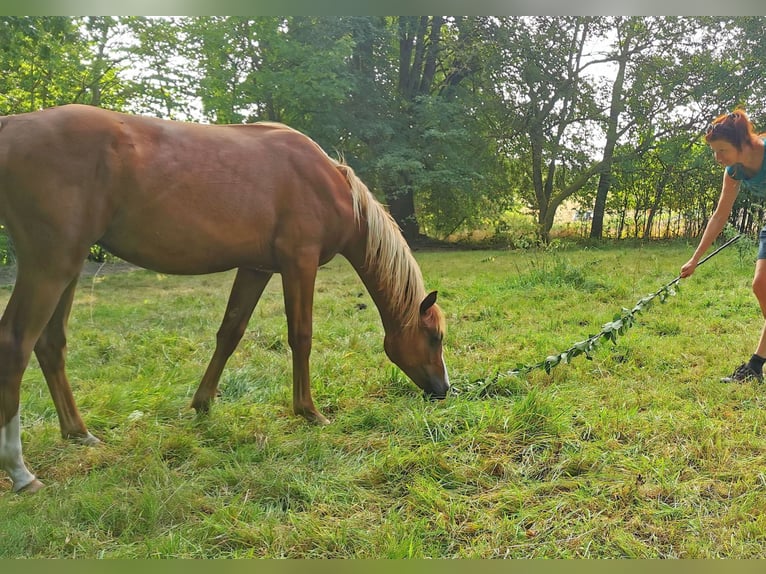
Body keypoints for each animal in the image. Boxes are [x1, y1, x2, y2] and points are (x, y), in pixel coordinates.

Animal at [0, 106, 450, 492]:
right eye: (435, 338)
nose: (444, 389)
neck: (330, 185)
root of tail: (11, 125)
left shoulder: (256, 268)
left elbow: (230, 332)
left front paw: (202, 404)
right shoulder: (299, 263)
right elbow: (301, 336)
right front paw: (308, 411)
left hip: (69, 267)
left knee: (50, 344)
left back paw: (79, 433)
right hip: (50, 264)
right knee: (16, 343)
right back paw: (20, 471)